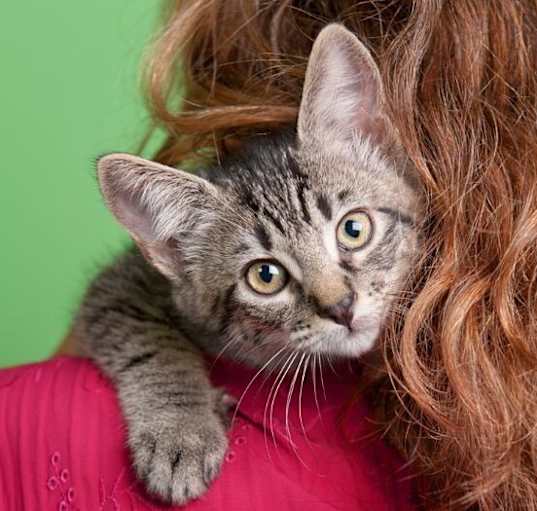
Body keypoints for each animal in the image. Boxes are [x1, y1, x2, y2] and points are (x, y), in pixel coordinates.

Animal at [72, 23, 422, 504]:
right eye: (265, 276)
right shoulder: (119, 284)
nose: (342, 307)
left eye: (353, 229)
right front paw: (180, 431)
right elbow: (148, 339)